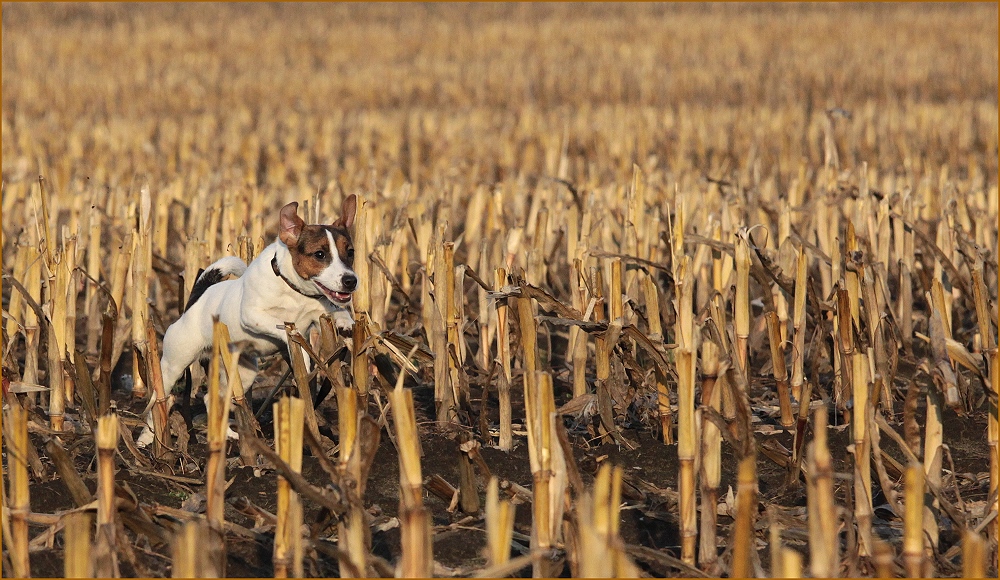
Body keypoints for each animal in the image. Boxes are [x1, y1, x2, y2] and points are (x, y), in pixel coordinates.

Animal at [137, 197, 356, 446]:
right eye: (319, 254)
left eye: (350, 252)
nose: (351, 281)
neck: (295, 290)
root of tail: (197, 297)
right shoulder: (252, 315)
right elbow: (282, 326)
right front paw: (300, 350)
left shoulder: (318, 312)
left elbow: (336, 310)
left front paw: (345, 323)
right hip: (173, 365)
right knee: (158, 400)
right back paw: (147, 438)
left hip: (242, 373)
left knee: (211, 400)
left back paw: (227, 434)